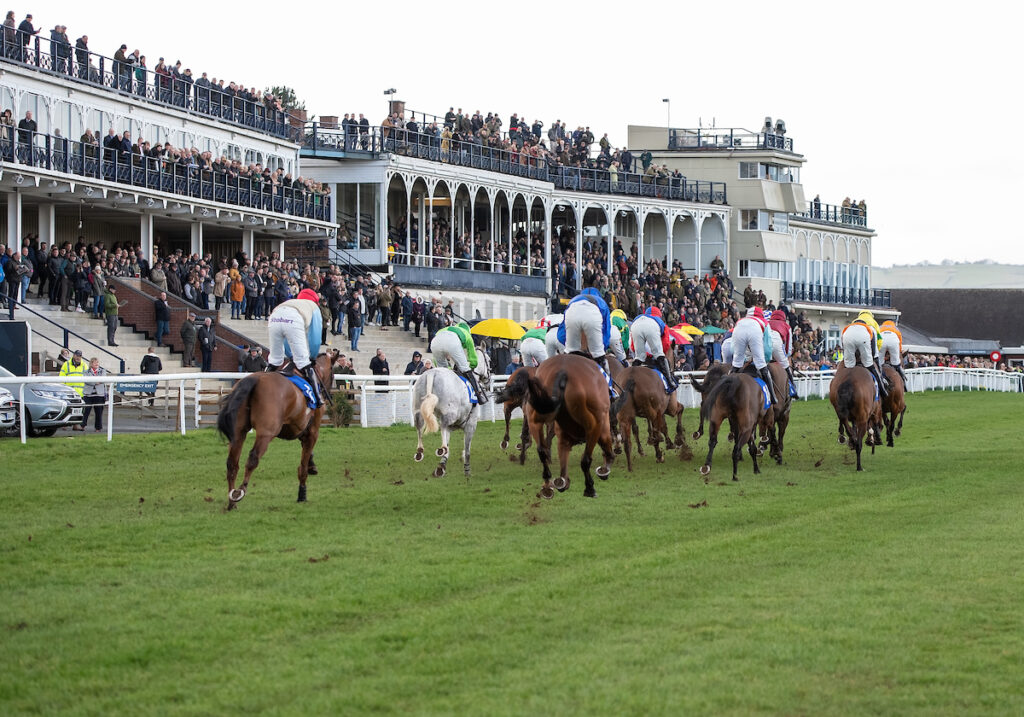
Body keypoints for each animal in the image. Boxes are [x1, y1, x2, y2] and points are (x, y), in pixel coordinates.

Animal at [218, 348, 342, 505]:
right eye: (333, 371)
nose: (327, 395)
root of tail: (253, 380)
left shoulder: (298, 428)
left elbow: (306, 452)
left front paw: (312, 465)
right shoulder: (313, 431)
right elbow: (303, 465)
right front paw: (302, 494)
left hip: (238, 432)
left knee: (232, 463)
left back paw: (231, 501)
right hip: (266, 433)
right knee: (253, 458)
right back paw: (240, 491)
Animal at [528, 352, 614, 497]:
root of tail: (562, 372)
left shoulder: (563, 439)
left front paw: (562, 482)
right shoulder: (602, 424)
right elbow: (603, 447)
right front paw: (603, 470)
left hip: (534, 417)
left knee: (541, 450)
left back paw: (547, 484)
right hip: (593, 421)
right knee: (586, 459)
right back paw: (590, 487)